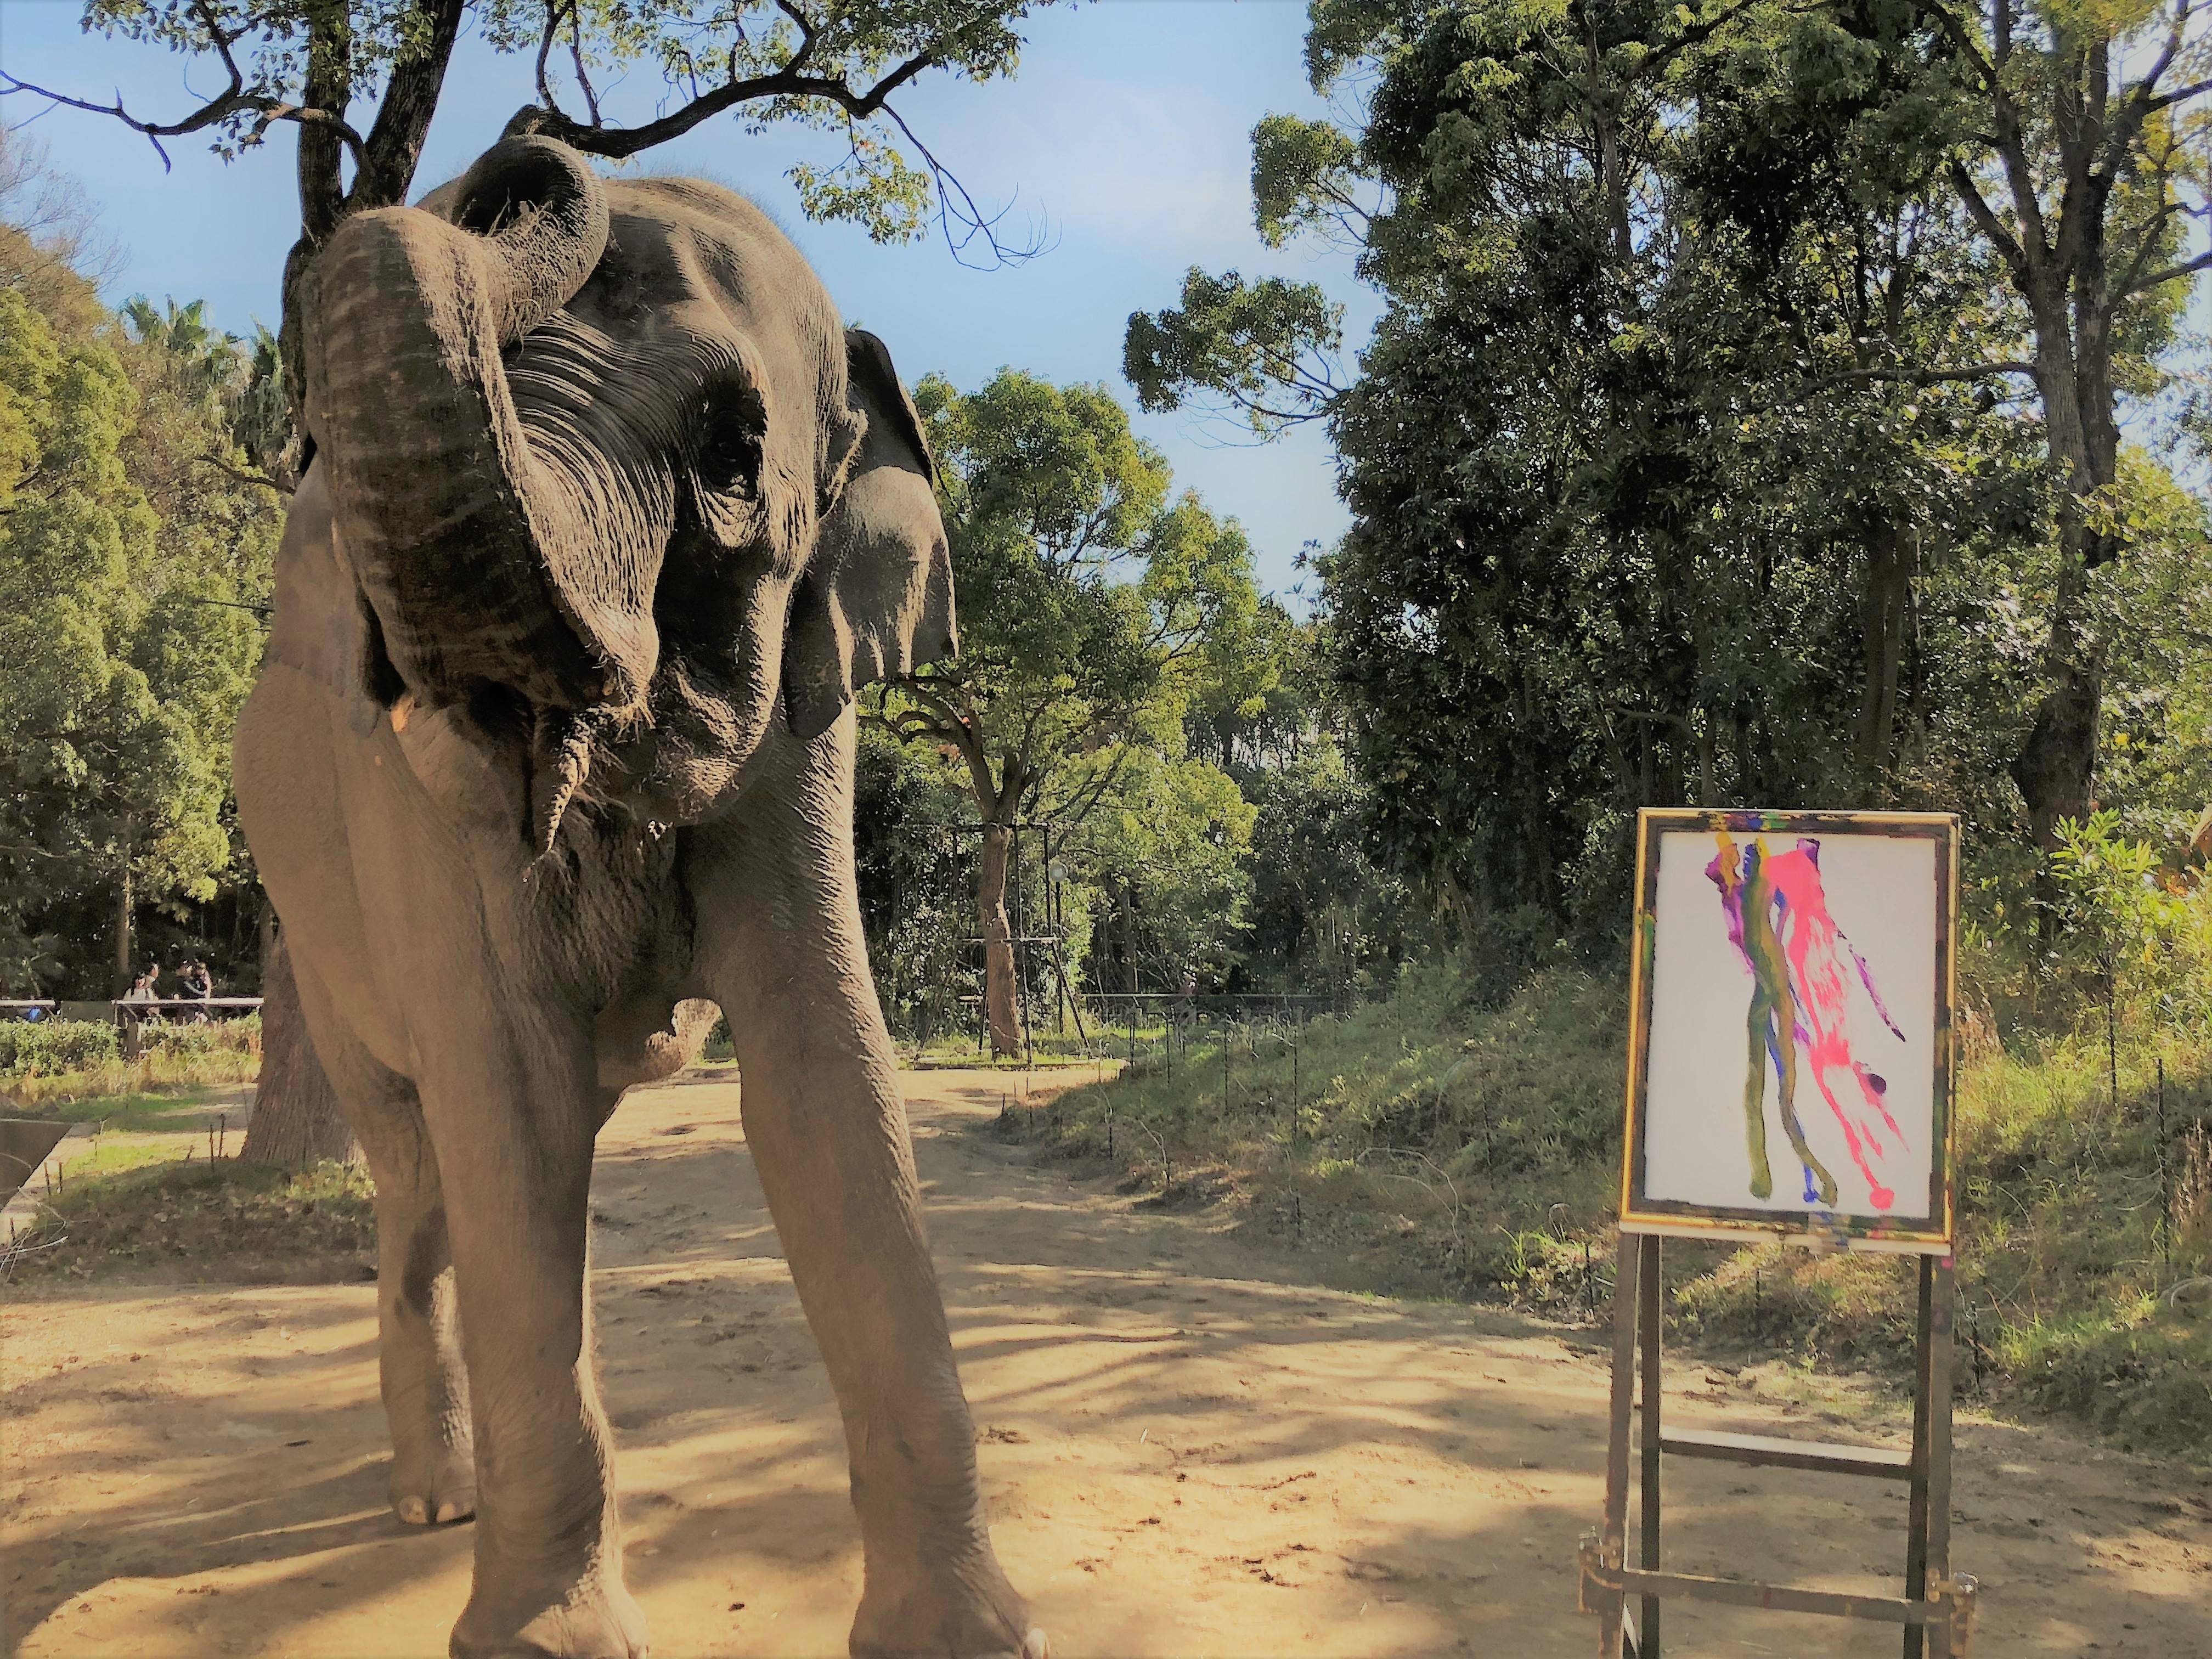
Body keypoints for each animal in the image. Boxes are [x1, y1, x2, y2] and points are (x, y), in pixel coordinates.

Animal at [233, 129, 1044, 1659]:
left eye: (732, 452)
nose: (532, 153)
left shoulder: (804, 729)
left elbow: (825, 1077)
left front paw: (968, 1638)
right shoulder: (410, 797)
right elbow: (507, 1092)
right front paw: (545, 1640)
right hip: (311, 932)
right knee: (426, 1181)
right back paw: (436, 1504)